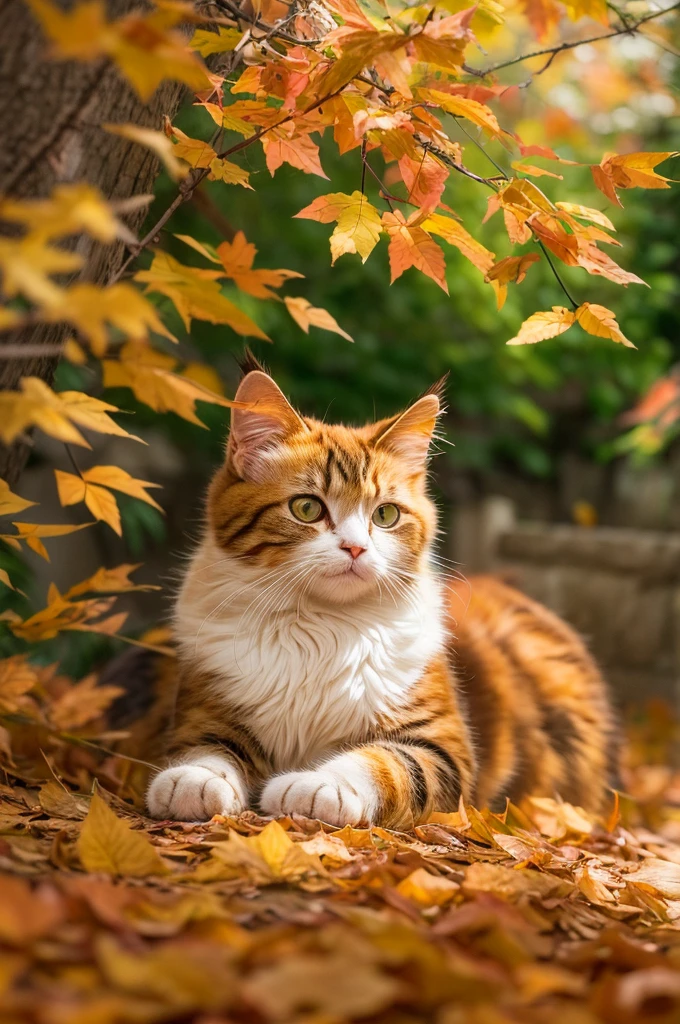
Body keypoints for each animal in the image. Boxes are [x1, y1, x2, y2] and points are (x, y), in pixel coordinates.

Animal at [144, 364, 622, 827]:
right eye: (306, 508)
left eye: (386, 515)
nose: (356, 548)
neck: (319, 626)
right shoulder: (206, 708)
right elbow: (208, 748)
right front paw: (195, 778)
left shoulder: (440, 746)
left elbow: (382, 762)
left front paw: (321, 786)